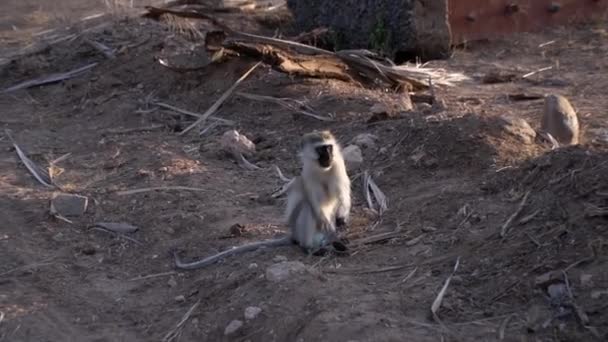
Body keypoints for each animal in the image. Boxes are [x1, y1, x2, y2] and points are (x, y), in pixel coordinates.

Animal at [172, 130, 352, 270]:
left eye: (329, 147)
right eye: (320, 150)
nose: (328, 156)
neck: (323, 169)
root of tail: (294, 234)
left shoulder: (338, 164)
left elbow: (343, 194)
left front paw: (341, 220)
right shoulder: (308, 171)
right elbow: (313, 201)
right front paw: (329, 227)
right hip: (300, 229)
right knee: (307, 208)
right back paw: (310, 247)